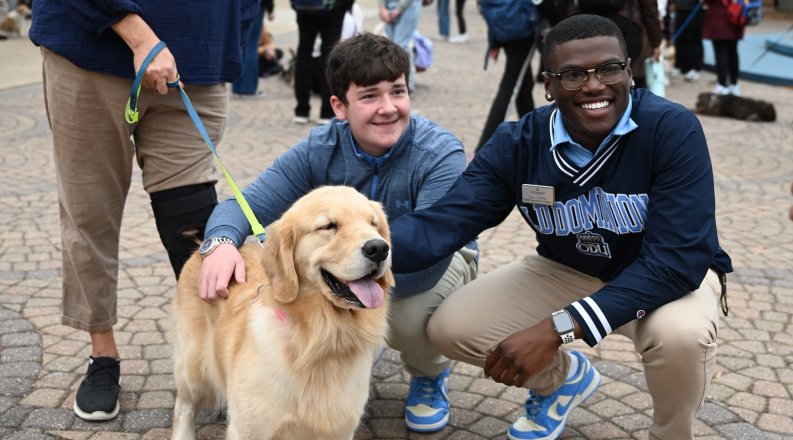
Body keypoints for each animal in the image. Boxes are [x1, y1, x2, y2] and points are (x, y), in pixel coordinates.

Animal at [174, 186, 396, 440]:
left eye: (374, 224)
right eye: (328, 226)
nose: (379, 248)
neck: (322, 341)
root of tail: (200, 247)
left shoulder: (341, 429)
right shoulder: (248, 430)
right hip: (192, 366)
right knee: (184, 406)